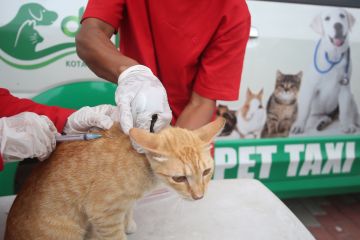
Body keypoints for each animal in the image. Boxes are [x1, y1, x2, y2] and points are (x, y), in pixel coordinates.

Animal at [4, 117, 225, 238]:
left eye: (206, 172)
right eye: (179, 179)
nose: (199, 197)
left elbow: (128, 207)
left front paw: (128, 222)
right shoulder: (102, 213)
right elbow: (114, 234)